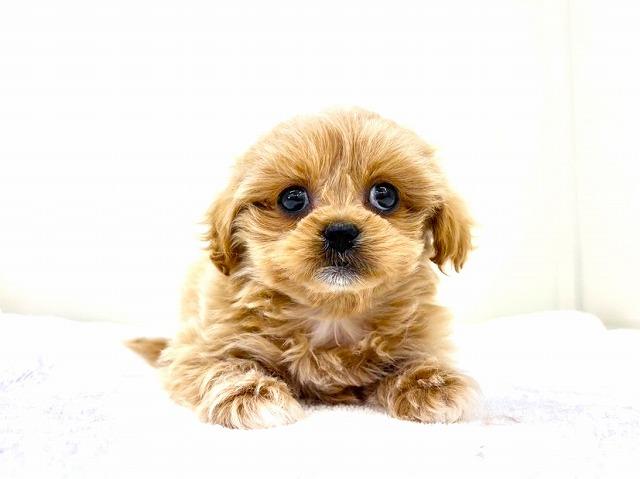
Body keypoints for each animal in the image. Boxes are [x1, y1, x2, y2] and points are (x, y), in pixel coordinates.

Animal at [127, 108, 480, 429]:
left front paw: (433, 384)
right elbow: (222, 365)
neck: (332, 311)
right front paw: (251, 394)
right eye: (292, 199)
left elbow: (415, 357)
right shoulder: (197, 348)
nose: (340, 231)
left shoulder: (422, 333)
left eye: (385, 195)